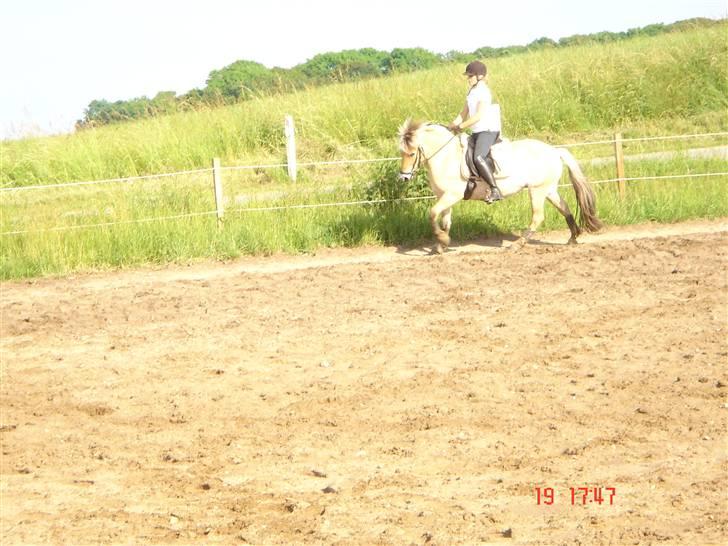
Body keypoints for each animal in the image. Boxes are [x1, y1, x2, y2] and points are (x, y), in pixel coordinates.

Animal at [398, 118, 604, 252]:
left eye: (411, 153)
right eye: (401, 152)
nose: (403, 178)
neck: (446, 157)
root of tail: (555, 151)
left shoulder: (452, 195)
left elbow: (432, 213)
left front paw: (441, 240)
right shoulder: (444, 196)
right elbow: (444, 220)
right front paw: (442, 244)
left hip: (537, 190)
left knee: (538, 217)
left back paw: (516, 245)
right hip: (548, 189)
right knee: (565, 208)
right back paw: (573, 237)